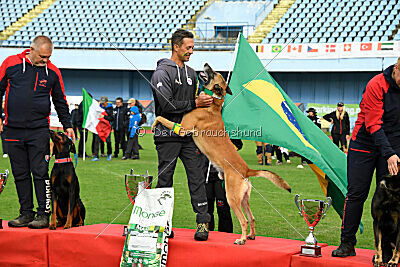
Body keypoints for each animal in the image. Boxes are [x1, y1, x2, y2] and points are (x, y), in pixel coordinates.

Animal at [152, 63, 290, 246]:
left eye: (213, 72)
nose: (206, 64)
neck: (212, 104)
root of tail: (246, 170)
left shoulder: (182, 129)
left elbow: (162, 117)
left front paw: (153, 124)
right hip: (244, 199)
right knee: (252, 218)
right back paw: (251, 236)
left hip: (231, 198)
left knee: (244, 220)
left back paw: (241, 239)